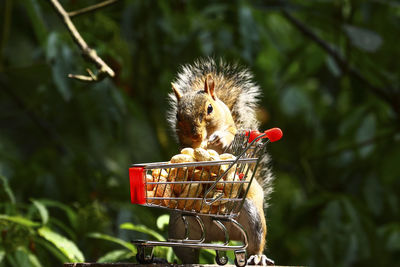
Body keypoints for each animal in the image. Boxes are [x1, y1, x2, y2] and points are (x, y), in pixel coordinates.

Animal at [166, 58, 276, 266]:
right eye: (177, 116)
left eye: (209, 108)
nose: (196, 135)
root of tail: (216, 234)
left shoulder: (236, 141)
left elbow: (231, 139)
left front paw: (222, 138)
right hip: (178, 227)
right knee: (187, 251)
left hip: (253, 217)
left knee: (254, 243)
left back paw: (258, 257)